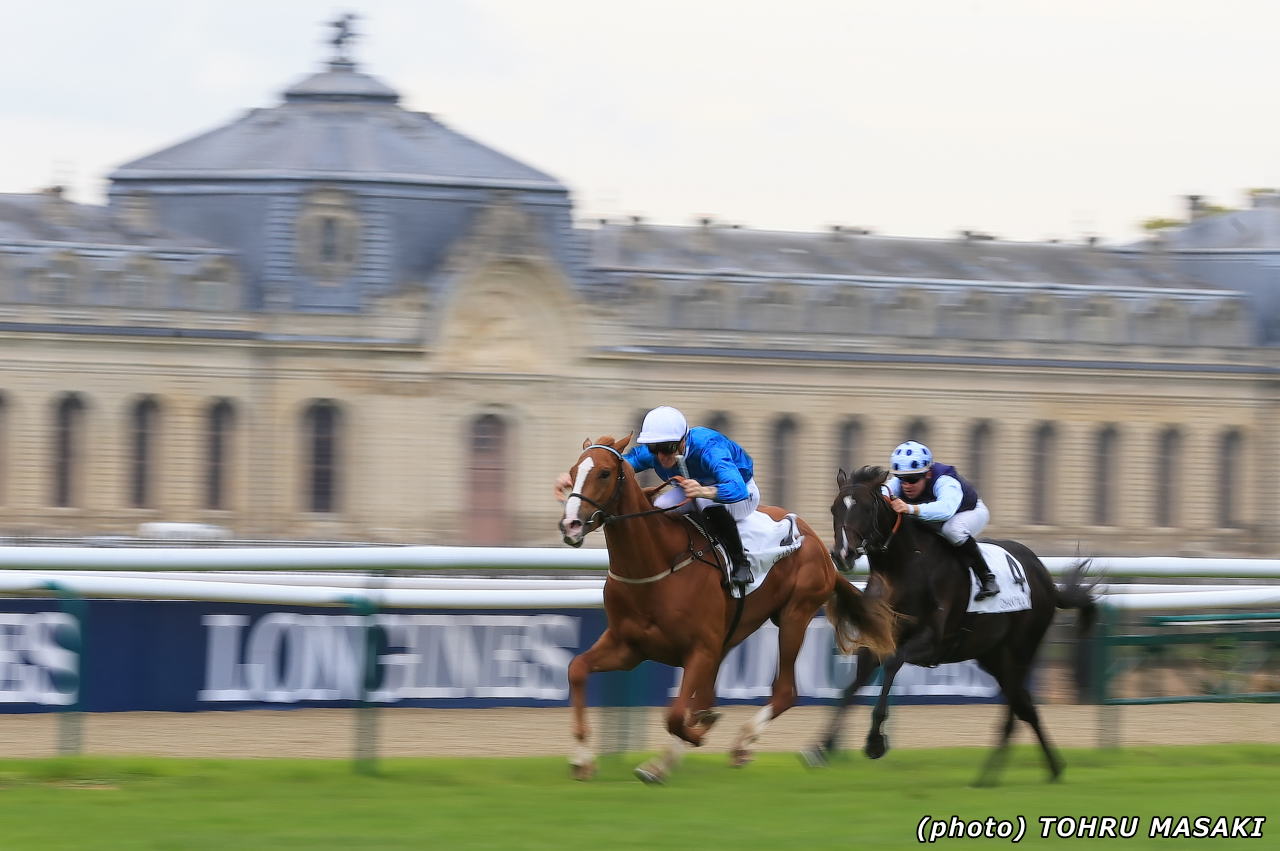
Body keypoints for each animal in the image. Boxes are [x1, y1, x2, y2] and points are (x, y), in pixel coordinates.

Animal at [558, 435, 897, 783]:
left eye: (604, 473)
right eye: (572, 472)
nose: (571, 524)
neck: (657, 566)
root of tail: (820, 545)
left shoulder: (700, 649)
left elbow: (677, 715)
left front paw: (695, 735)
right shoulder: (629, 648)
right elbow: (577, 669)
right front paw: (583, 760)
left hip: (794, 615)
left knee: (784, 692)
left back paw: (740, 743)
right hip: (734, 631)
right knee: (709, 695)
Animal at [801, 465, 1097, 786]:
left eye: (866, 508)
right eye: (834, 509)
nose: (842, 554)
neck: (903, 568)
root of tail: (1045, 578)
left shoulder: (930, 641)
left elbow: (891, 664)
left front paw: (875, 742)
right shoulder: (876, 637)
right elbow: (850, 687)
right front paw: (821, 747)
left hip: (1021, 650)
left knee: (1019, 706)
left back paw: (1004, 773)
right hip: (992, 655)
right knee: (1025, 705)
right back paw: (1037, 770)